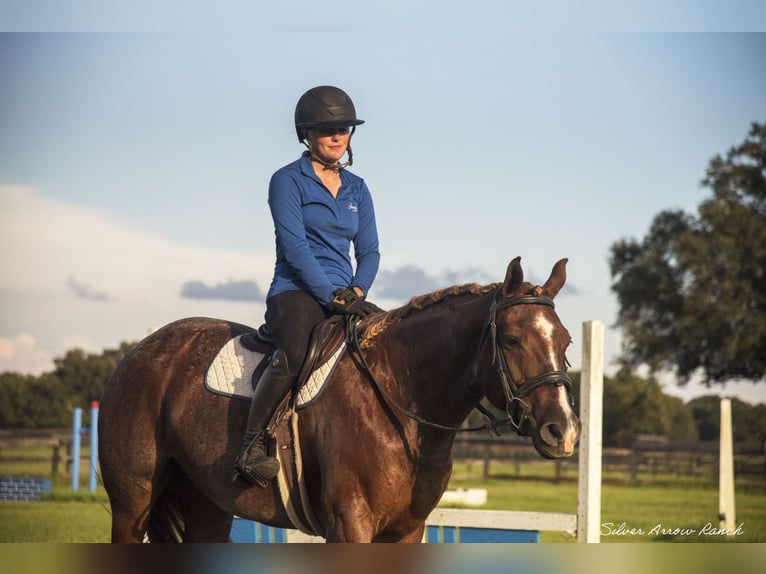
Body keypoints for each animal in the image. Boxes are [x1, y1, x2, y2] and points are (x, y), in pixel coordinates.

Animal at [100, 256, 584, 544]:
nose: (562, 431)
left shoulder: (407, 531)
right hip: (131, 506)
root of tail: (139, 352)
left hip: (209, 507)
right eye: (512, 339)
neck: (400, 403)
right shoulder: (350, 527)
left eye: (565, 340)